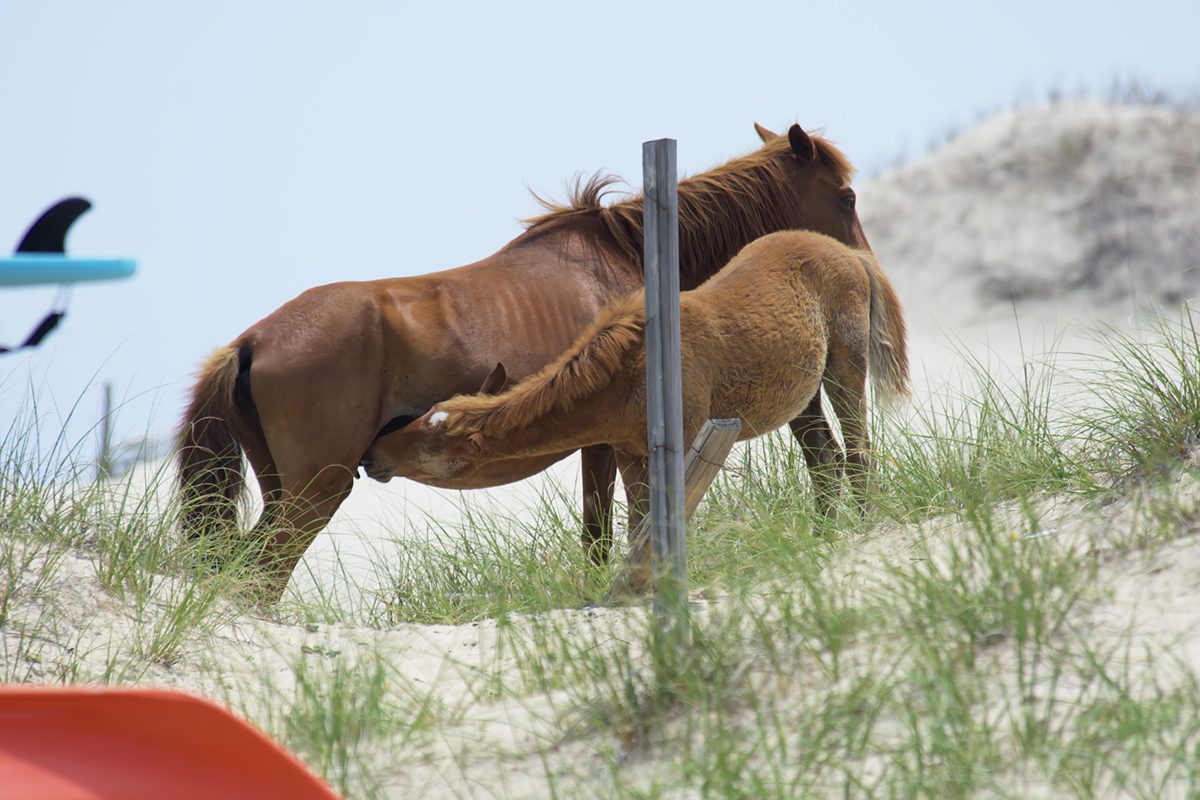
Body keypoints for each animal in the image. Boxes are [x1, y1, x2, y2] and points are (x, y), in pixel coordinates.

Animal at [175, 123, 873, 599]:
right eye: (846, 196)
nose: (864, 264)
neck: (632, 257)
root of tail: (250, 342)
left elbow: (601, 530)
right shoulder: (608, 441)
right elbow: (603, 529)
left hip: (283, 489)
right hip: (316, 490)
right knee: (263, 571)